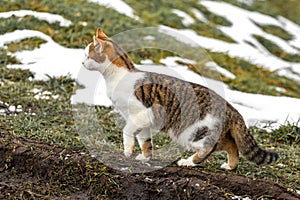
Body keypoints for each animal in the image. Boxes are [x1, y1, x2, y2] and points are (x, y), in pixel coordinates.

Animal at [82, 27, 278, 170]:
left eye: (86, 54)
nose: (82, 62)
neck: (120, 75)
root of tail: (231, 108)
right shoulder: (143, 122)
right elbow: (145, 141)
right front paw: (144, 157)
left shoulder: (141, 114)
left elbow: (127, 132)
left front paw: (128, 151)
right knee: (231, 145)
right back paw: (230, 166)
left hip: (195, 131)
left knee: (209, 148)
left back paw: (188, 162)